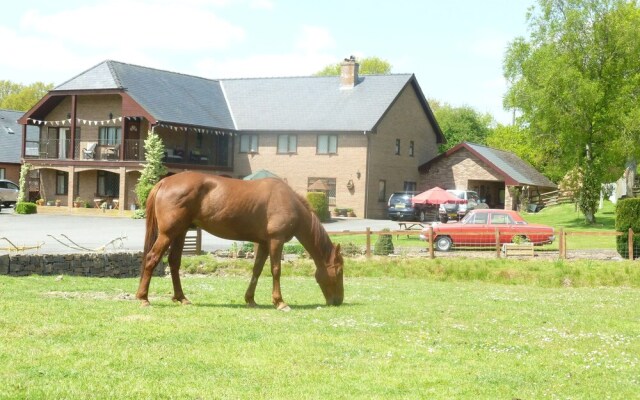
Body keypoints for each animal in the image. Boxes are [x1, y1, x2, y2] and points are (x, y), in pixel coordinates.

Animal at [136, 171, 344, 310]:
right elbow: (276, 270)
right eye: (340, 271)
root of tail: (164, 182)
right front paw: (280, 302)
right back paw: (143, 298)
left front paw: (250, 299)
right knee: (152, 258)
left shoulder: (263, 243)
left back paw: (181, 298)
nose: (339, 301)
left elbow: (257, 270)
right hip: (168, 233)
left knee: (174, 262)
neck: (289, 202)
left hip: (180, 232)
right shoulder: (276, 241)